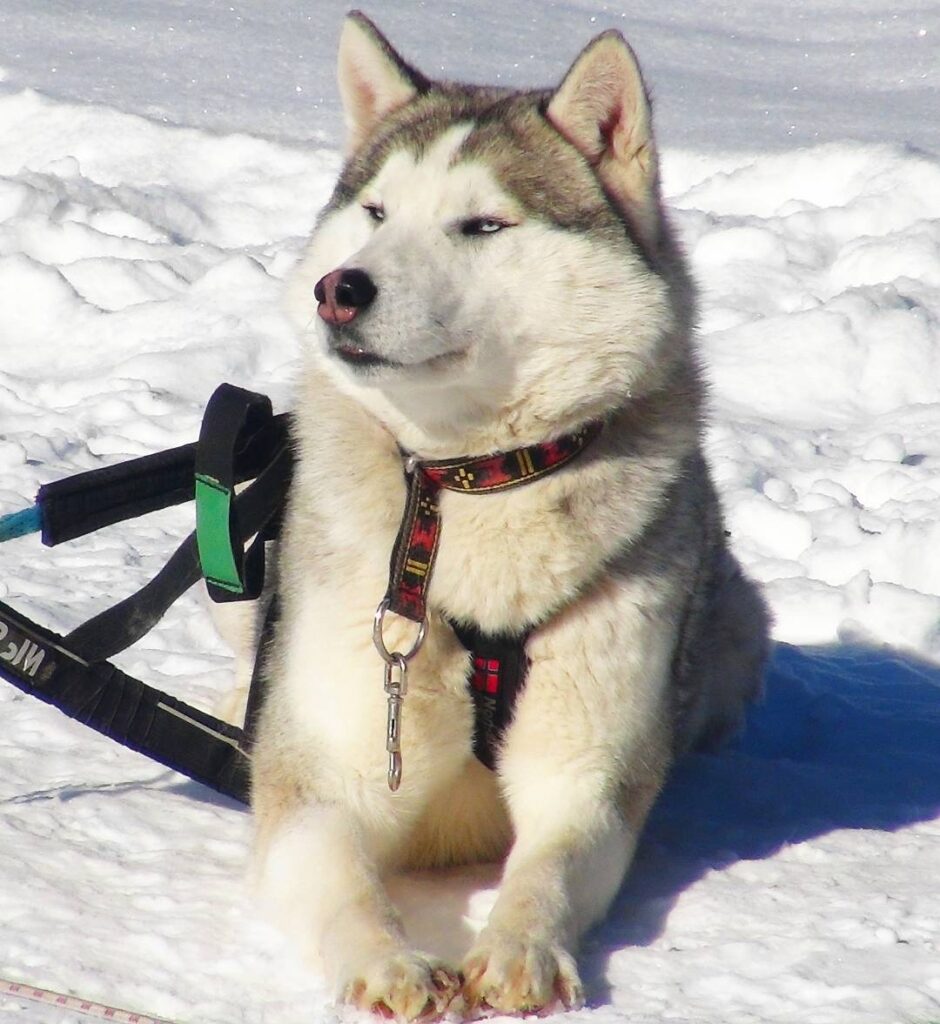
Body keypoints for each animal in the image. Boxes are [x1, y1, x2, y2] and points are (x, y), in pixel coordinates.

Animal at [246, 12, 770, 1019]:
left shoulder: (587, 773)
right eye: (376, 213)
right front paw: (390, 963)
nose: (342, 288)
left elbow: (552, 864)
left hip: (733, 625)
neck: (471, 479)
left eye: (483, 225)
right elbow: (344, 880)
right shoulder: (321, 776)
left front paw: (521, 948)